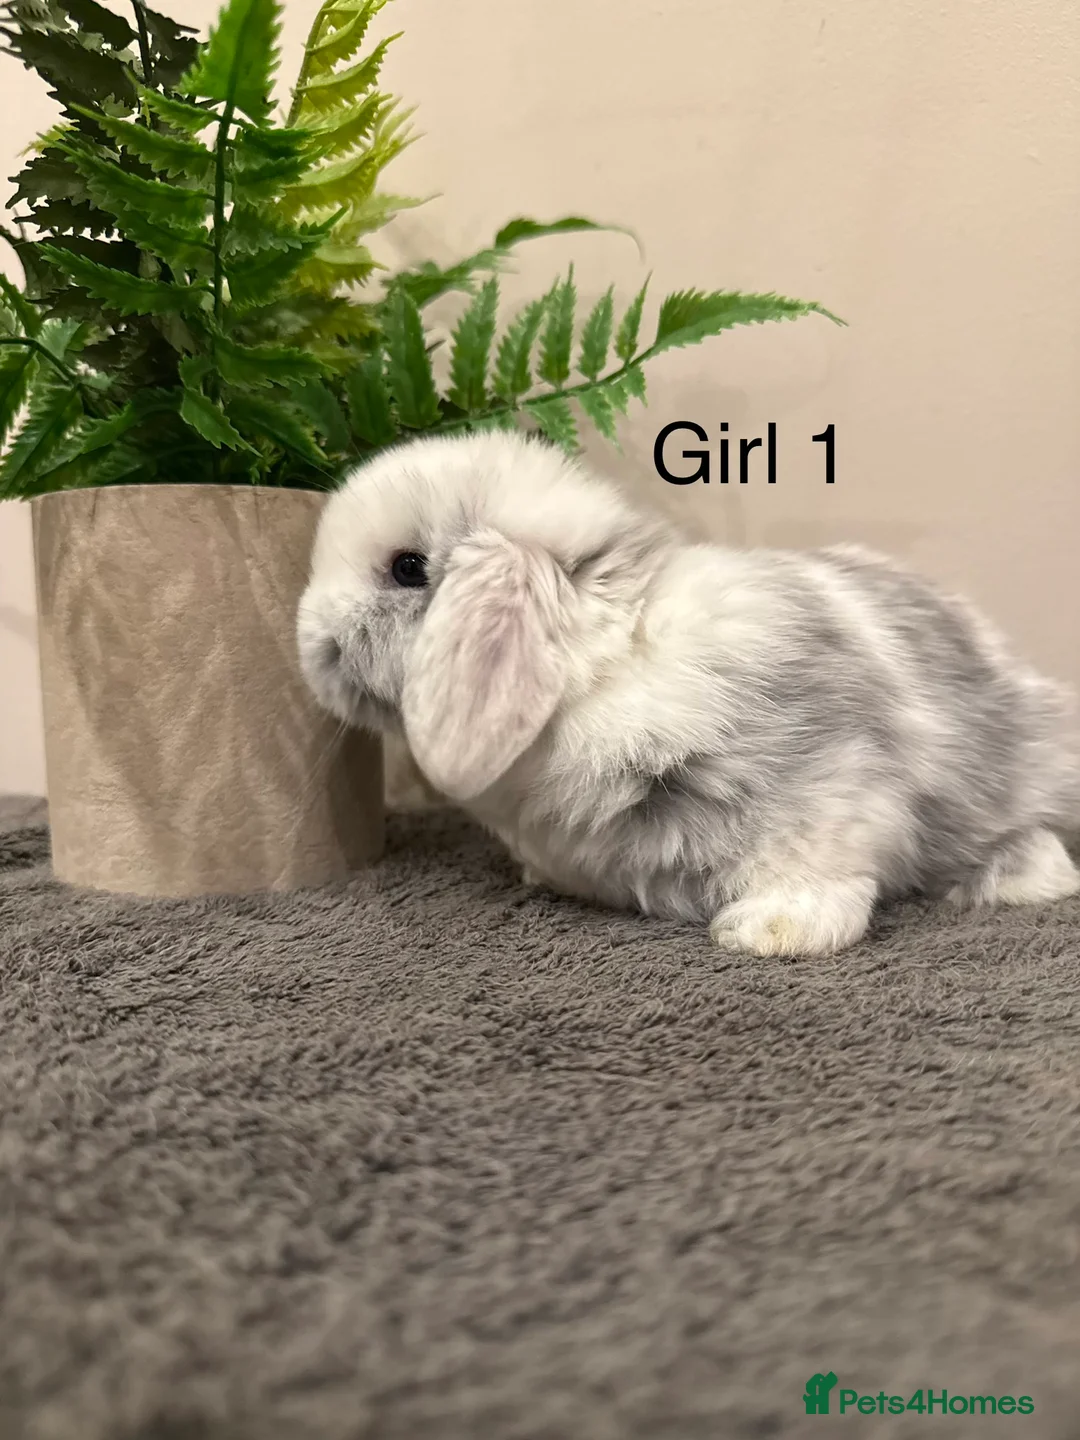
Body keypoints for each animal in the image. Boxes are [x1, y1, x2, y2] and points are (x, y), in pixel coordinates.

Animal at [297, 429, 1080, 958]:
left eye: (406, 567)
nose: (310, 643)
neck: (608, 658)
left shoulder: (828, 773)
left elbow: (816, 860)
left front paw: (770, 932)